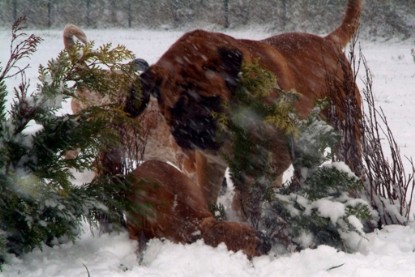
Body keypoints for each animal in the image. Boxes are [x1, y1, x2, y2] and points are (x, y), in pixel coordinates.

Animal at [127, 0, 364, 226]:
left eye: (212, 101)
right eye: (174, 107)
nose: (195, 132)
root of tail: (327, 41)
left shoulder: (275, 153)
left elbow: (249, 191)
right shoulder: (209, 164)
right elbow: (207, 194)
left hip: (347, 134)